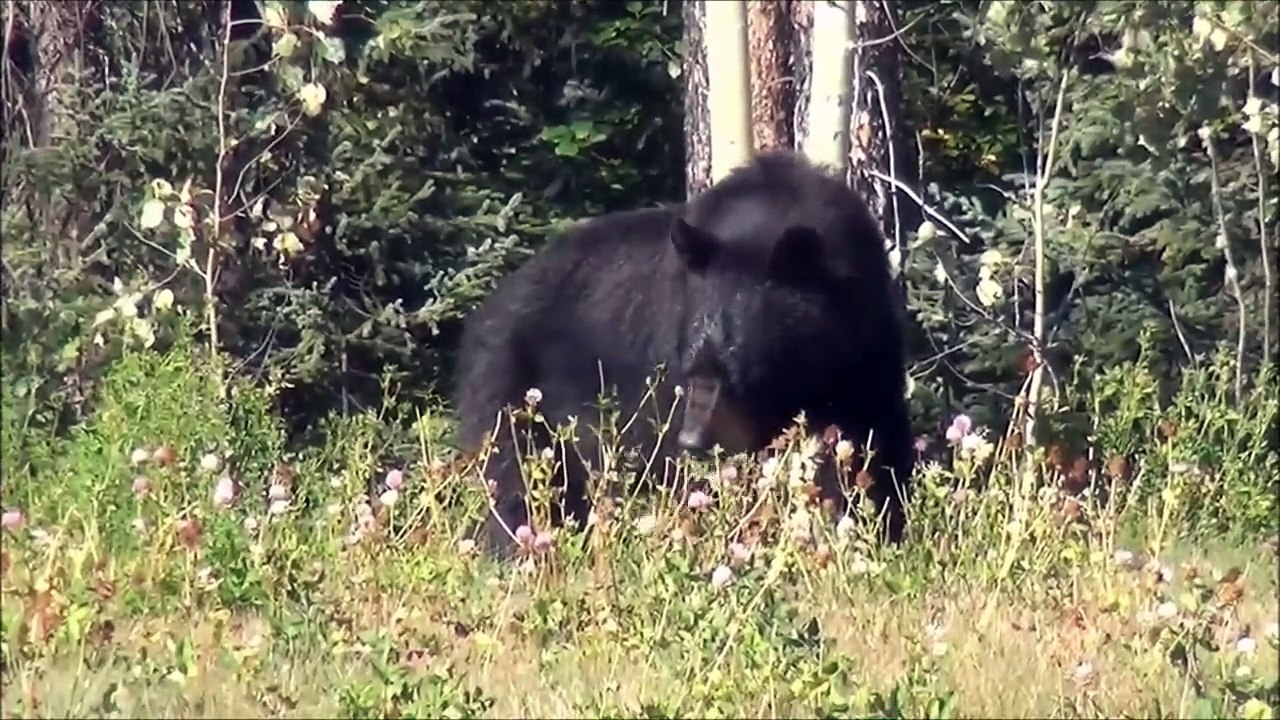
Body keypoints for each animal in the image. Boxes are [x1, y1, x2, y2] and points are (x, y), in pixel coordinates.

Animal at [454, 150, 914, 559]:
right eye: (692, 365)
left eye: (741, 371)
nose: (694, 440)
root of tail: (487, 310)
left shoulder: (864, 353)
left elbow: (867, 440)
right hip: (515, 390)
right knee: (515, 481)